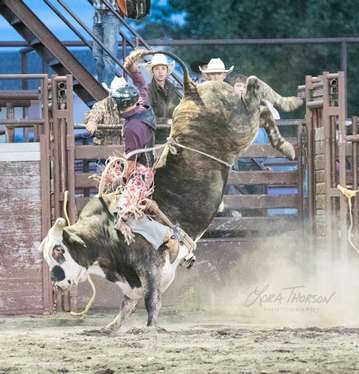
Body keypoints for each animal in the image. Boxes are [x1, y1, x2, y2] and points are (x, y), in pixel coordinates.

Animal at [39, 48, 304, 332]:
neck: (108, 231)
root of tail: (191, 90)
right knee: (260, 105)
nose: (56, 283)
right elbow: (124, 308)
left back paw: (288, 122)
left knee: (255, 91)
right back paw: (285, 138)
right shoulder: (131, 285)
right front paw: (107, 328)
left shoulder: (150, 269)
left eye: (58, 251)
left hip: (241, 125)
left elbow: (151, 303)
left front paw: (152, 328)